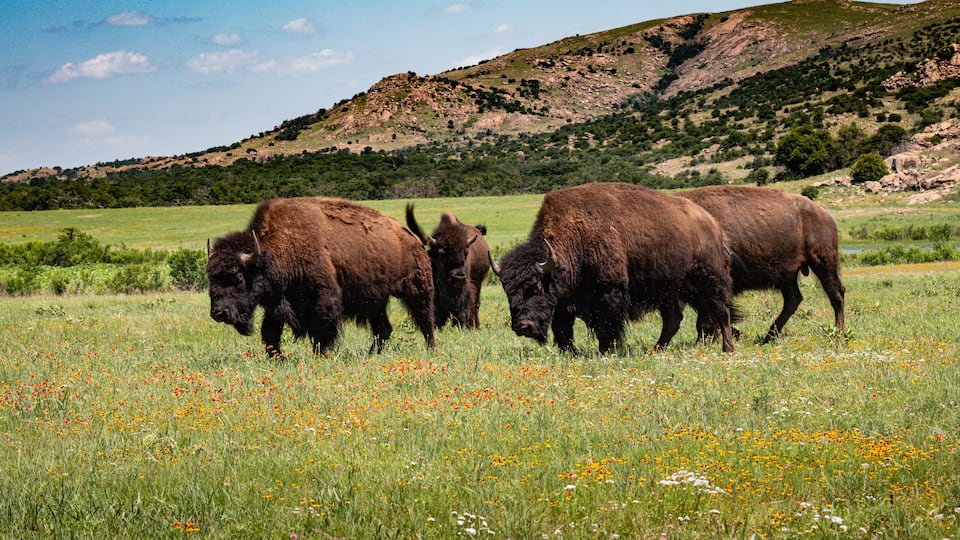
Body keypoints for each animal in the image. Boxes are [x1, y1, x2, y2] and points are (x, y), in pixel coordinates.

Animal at [206, 197, 435, 357]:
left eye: (236, 276)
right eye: (210, 278)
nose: (218, 313)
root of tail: (413, 238)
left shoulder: (322, 298)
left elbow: (320, 331)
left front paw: (319, 356)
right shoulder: (277, 303)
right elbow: (269, 332)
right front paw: (278, 359)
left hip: (417, 290)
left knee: (425, 322)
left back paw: (431, 350)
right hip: (375, 302)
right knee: (383, 329)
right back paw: (369, 355)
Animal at [491, 182, 736, 354]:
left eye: (535, 288)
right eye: (508, 292)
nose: (522, 326)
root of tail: (712, 224)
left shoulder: (609, 292)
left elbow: (606, 327)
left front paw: (606, 351)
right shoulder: (563, 302)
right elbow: (563, 330)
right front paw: (571, 353)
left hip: (708, 281)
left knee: (721, 312)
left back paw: (728, 349)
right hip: (670, 289)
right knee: (673, 320)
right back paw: (655, 350)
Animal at [680, 185, 846, 342]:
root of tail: (825, 214)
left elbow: (706, 318)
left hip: (822, 263)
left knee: (836, 293)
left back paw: (839, 332)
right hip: (788, 275)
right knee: (793, 299)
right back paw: (769, 336)